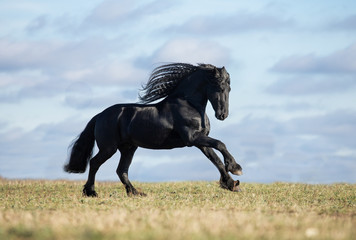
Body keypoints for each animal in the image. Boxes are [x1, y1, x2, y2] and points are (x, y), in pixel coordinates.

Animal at [64, 62, 242, 196]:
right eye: (219, 87)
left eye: (229, 89)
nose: (222, 115)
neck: (188, 104)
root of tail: (100, 115)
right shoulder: (192, 138)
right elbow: (220, 144)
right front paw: (236, 169)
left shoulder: (200, 142)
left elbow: (216, 159)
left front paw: (231, 183)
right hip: (109, 148)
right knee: (95, 163)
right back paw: (91, 192)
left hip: (128, 148)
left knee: (121, 170)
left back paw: (135, 193)